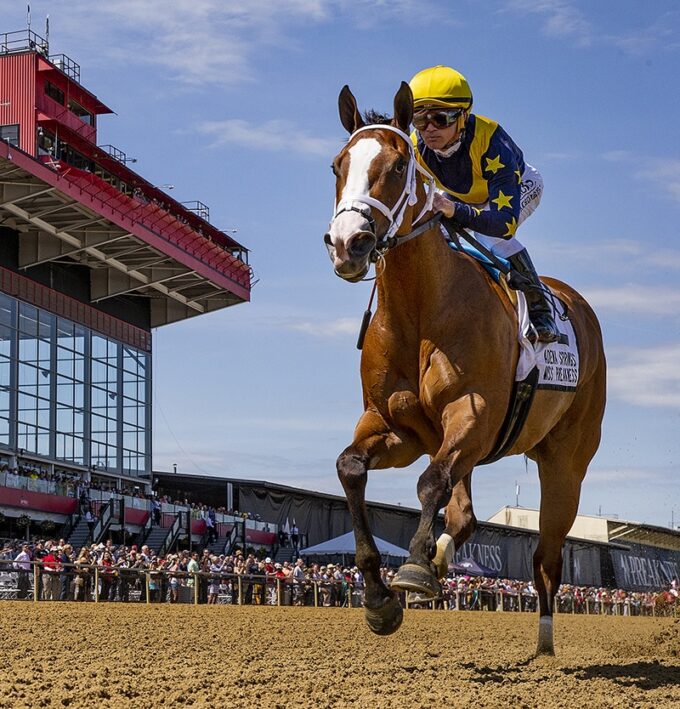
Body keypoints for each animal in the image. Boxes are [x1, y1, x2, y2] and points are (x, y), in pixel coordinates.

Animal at [324, 81, 604, 652]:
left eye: (397, 165)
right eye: (338, 165)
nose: (347, 244)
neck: (421, 309)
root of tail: (581, 309)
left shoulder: (471, 415)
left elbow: (430, 482)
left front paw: (411, 570)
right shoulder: (397, 427)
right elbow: (351, 467)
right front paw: (380, 598)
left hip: (565, 462)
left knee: (546, 556)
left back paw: (544, 643)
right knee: (467, 516)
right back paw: (439, 559)